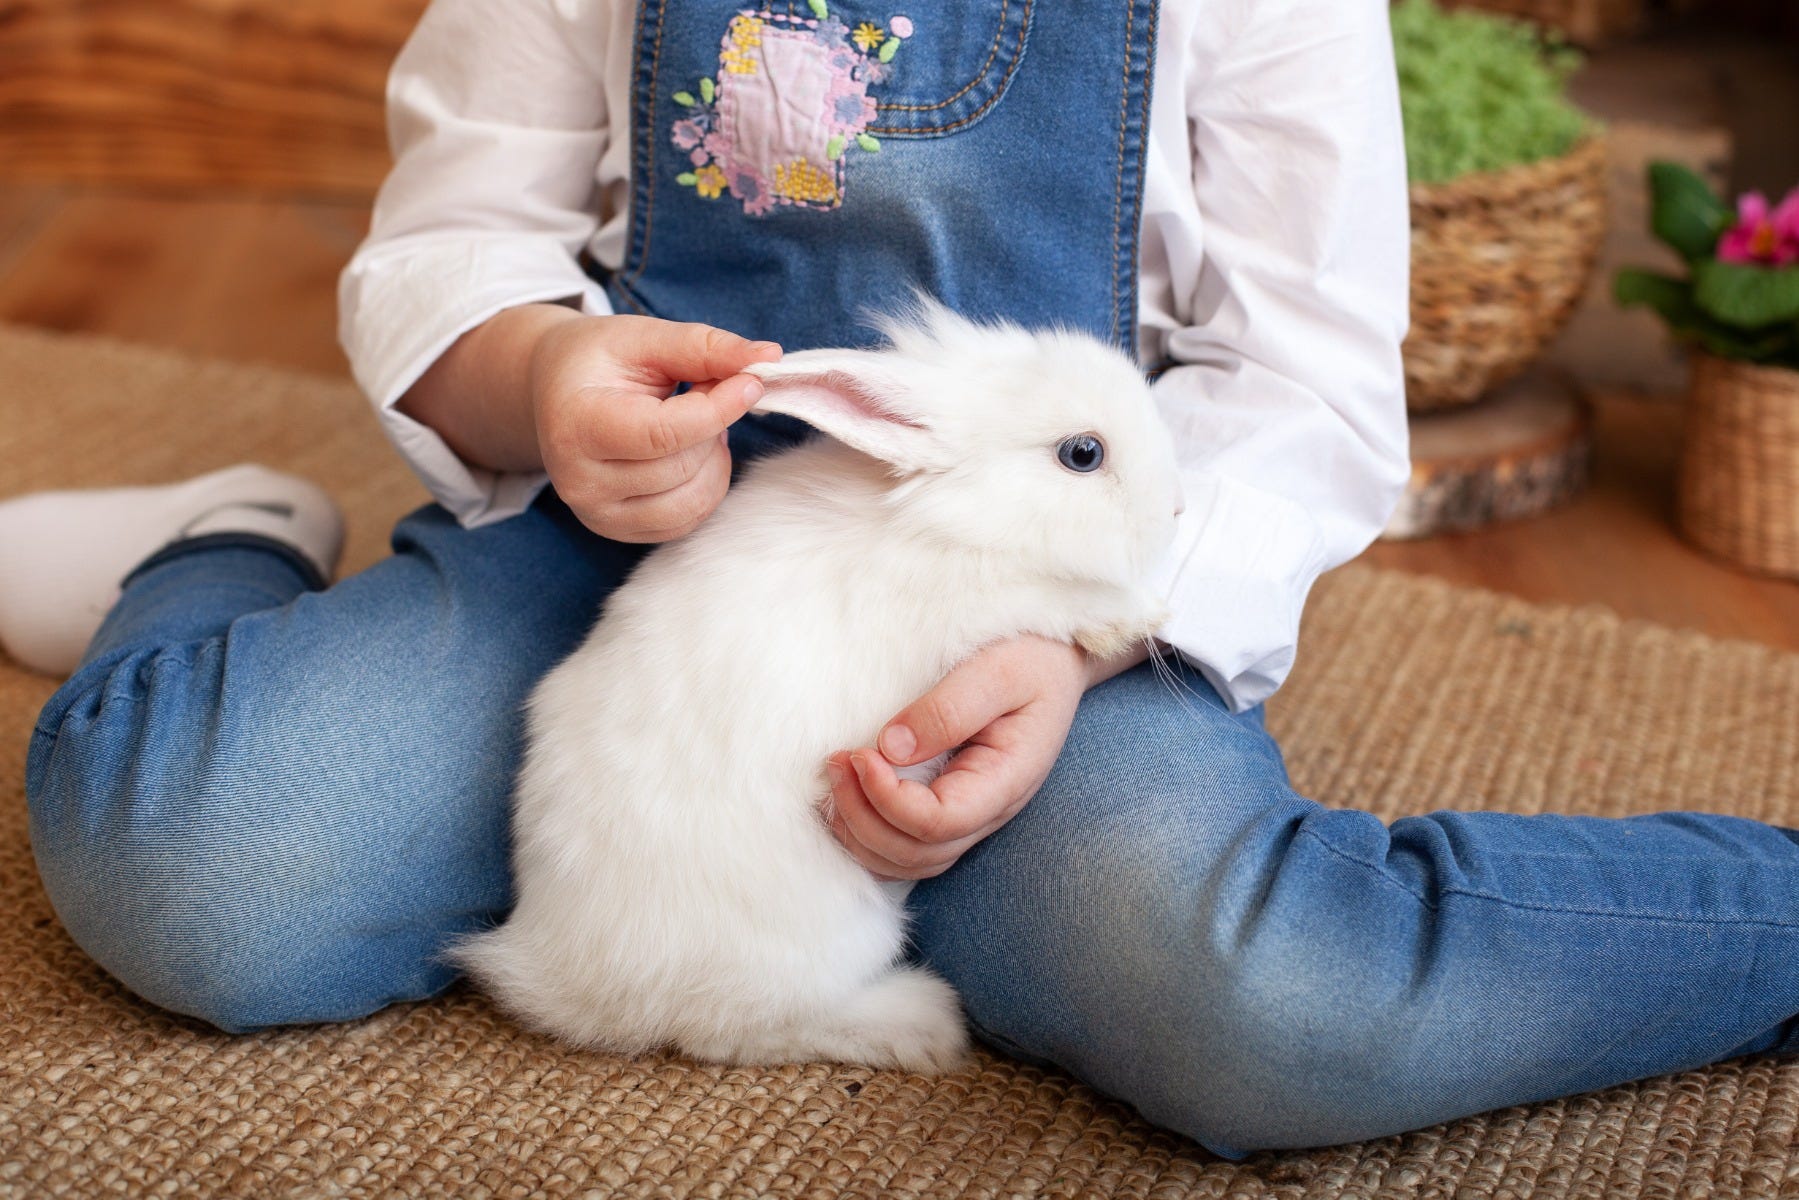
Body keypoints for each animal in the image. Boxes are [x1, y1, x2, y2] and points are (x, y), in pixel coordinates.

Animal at [453, 305, 1180, 1072]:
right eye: (1082, 454)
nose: (1179, 508)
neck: (946, 516)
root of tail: (566, 977)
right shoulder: (984, 605)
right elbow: (1059, 599)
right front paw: (1138, 615)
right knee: (739, 1027)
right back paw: (923, 1025)